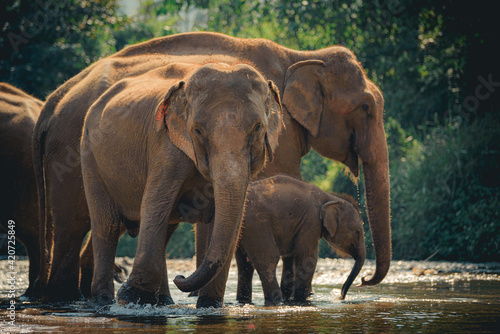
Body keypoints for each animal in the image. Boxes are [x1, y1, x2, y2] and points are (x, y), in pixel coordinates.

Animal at [236, 175, 366, 306]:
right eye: (357, 232)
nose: (341, 296)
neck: (330, 198)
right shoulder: (311, 221)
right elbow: (307, 258)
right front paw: (301, 300)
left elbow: (291, 257)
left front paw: (291, 299)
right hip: (256, 226)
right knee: (268, 259)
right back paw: (276, 301)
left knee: (244, 264)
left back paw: (244, 301)